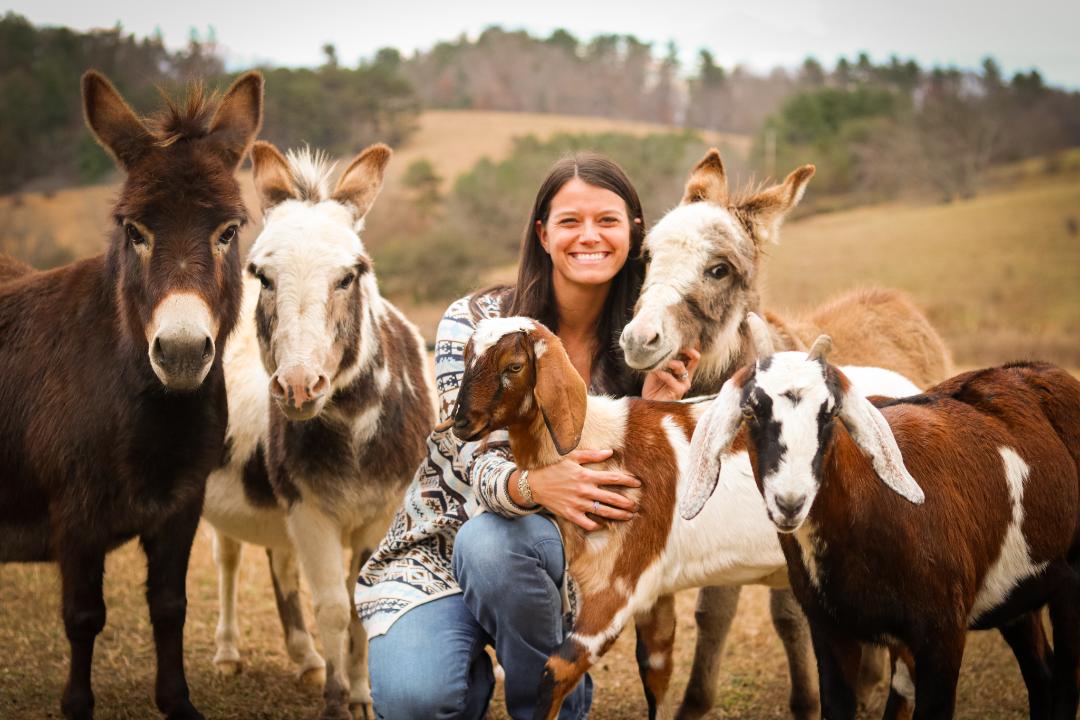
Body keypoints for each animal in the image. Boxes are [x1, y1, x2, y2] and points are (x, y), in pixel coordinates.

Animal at [203, 142, 434, 720]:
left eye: (351, 274)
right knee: (228, 561)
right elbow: (332, 606)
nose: (299, 386)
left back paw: (305, 657)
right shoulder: (310, 511)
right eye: (263, 275)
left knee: (280, 562)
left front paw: (362, 693)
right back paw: (229, 652)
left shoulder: (378, 516)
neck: (351, 425)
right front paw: (336, 699)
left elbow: (359, 607)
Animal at [617, 147, 954, 720]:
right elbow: (713, 616)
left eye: (719, 270)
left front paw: (808, 701)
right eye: (646, 256)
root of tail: (892, 300)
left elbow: (792, 621)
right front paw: (695, 703)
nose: (640, 340)